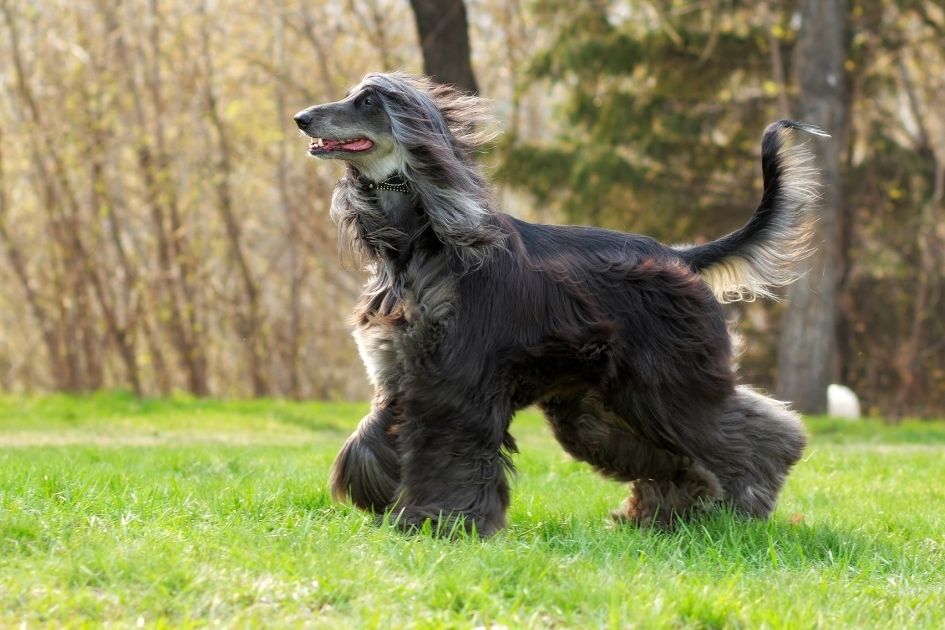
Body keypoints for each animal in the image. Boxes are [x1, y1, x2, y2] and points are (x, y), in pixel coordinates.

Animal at [292, 73, 824, 540]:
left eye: (368, 101)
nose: (301, 118)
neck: (422, 241)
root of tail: (679, 255)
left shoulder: (455, 381)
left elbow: (448, 451)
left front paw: (442, 522)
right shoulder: (401, 369)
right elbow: (372, 436)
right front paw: (380, 498)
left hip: (667, 381)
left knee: (757, 434)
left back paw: (746, 506)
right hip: (602, 404)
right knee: (671, 455)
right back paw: (660, 518)